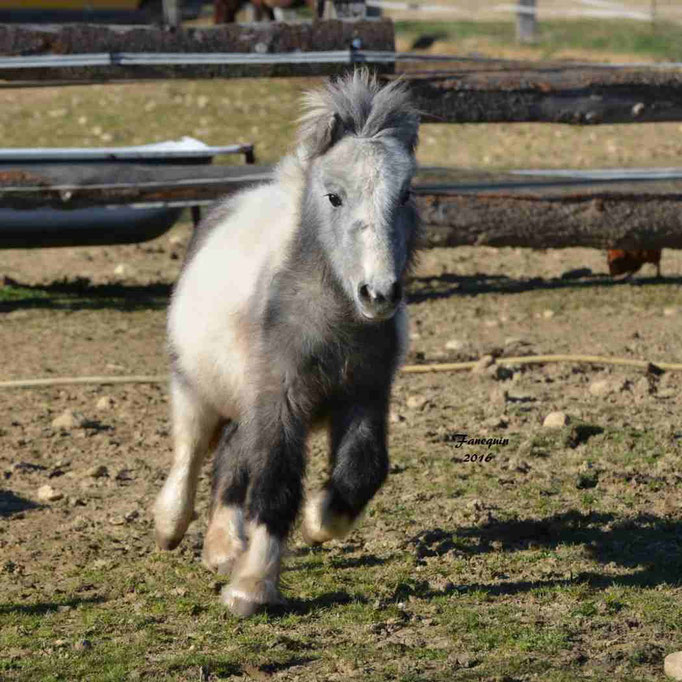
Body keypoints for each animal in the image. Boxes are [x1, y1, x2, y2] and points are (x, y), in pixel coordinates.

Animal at [155, 70, 420, 616]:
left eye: (405, 193)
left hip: (245, 402)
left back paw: (223, 547)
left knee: (230, 460)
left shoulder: (366, 394)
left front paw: (319, 523)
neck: (330, 322)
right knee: (190, 453)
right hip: (195, 387)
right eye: (334, 196)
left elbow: (363, 470)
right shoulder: (280, 402)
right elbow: (275, 486)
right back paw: (171, 527)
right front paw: (251, 587)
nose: (379, 293)